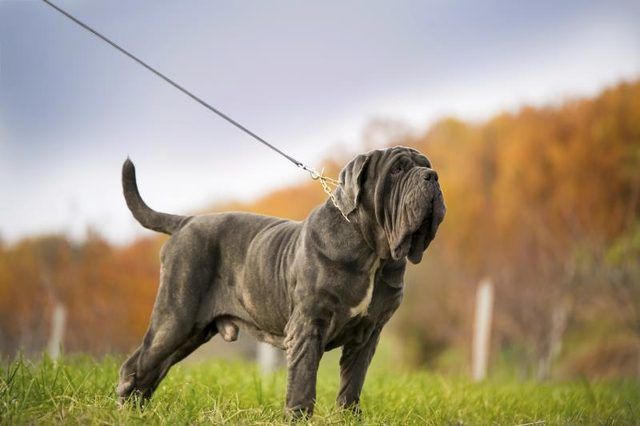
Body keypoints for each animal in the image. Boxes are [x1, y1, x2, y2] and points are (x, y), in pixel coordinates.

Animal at [116, 146, 444, 416]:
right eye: (397, 169)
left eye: (426, 165)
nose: (432, 176)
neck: (373, 252)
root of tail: (187, 221)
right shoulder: (308, 326)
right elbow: (302, 383)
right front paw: (298, 417)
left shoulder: (367, 335)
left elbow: (351, 386)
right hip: (175, 319)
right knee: (135, 366)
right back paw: (125, 409)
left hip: (191, 332)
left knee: (152, 370)